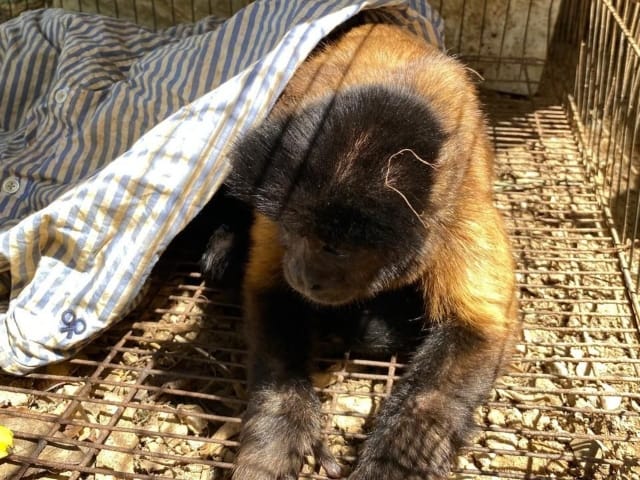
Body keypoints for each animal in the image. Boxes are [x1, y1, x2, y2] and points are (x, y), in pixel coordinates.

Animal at [202, 17, 518, 480]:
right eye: (295, 233)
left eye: (336, 250)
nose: (303, 275)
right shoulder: (274, 206)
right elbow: (269, 293)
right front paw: (277, 431)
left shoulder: (462, 215)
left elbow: (479, 329)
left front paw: (395, 460)